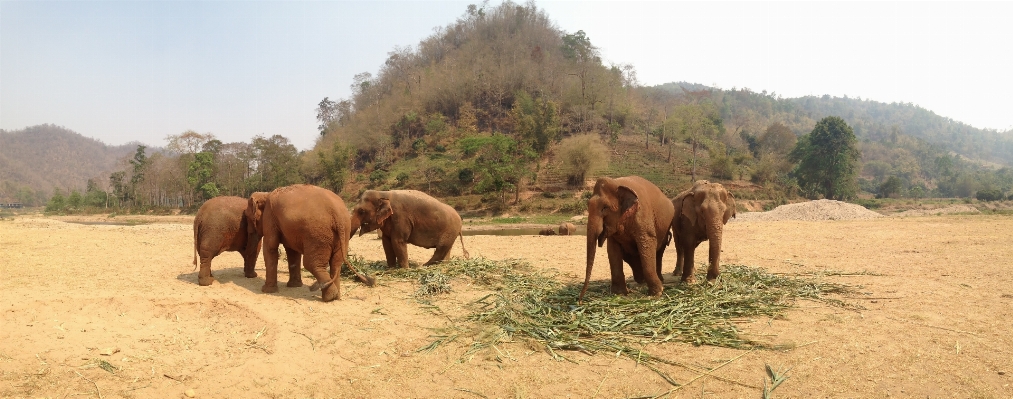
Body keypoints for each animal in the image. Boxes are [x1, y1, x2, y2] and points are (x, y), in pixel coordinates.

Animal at [246, 185, 376, 301]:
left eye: (247, 217)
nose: (250, 275)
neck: (266, 194)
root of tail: (337, 213)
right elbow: (292, 252)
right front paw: (294, 286)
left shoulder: (270, 217)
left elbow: (271, 247)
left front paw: (266, 290)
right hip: (342, 233)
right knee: (336, 264)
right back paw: (336, 297)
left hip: (317, 235)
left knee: (311, 264)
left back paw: (329, 297)